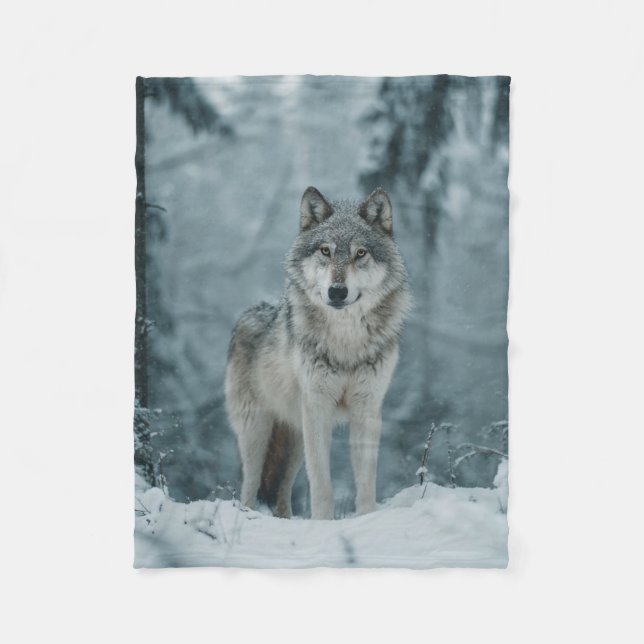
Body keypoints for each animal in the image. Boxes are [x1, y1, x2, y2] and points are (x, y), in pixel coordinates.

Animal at [225, 186, 411, 520]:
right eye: (325, 251)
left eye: (360, 253)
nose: (337, 291)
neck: (346, 340)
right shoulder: (317, 407)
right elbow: (322, 483)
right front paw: (324, 523)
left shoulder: (367, 409)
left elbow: (366, 481)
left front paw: (366, 519)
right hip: (257, 431)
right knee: (249, 485)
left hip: (295, 438)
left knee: (282, 491)